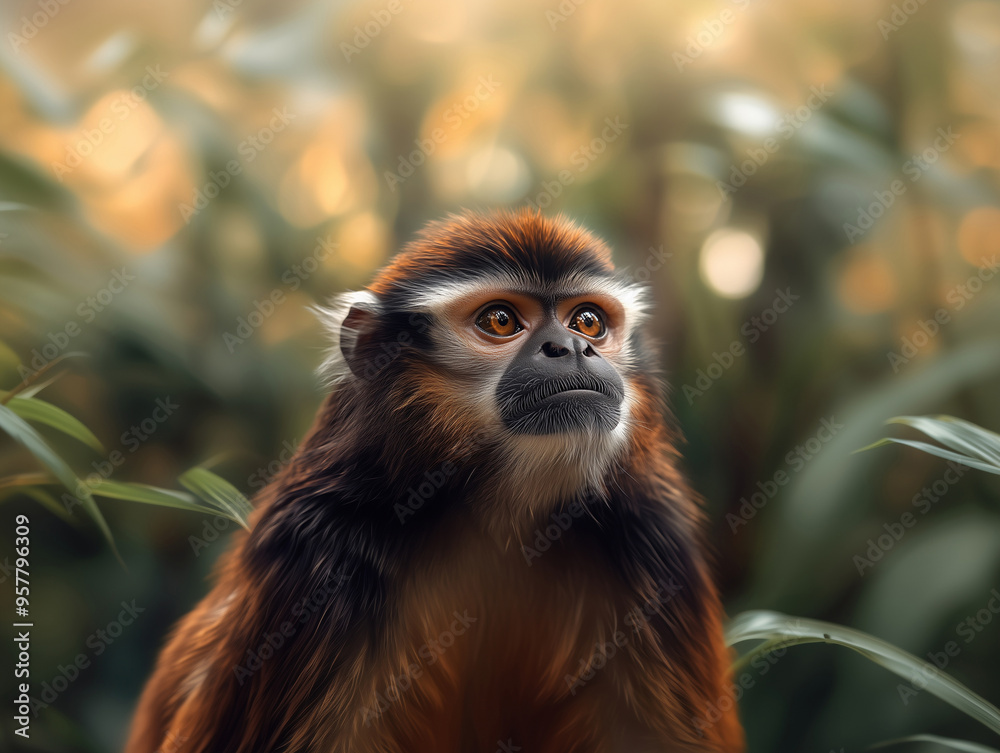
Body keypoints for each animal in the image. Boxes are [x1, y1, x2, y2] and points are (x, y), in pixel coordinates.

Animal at [126, 210, 744, 753]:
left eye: (587, 321)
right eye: (501, 321)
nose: (571, 347)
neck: (502, 517)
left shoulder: (653, 538)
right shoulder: (315, 554)